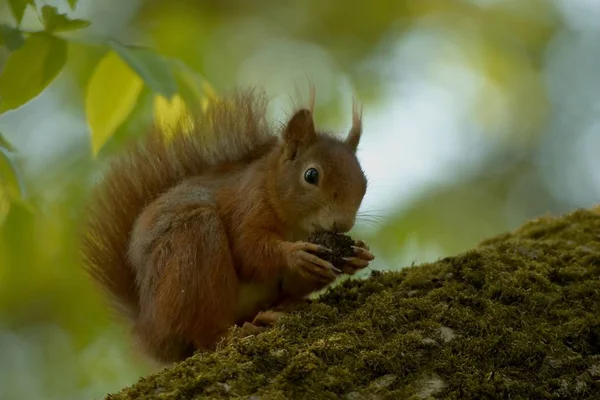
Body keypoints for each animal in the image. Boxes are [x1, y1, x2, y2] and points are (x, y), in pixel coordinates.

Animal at [79, 87, 370, 362]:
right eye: (311, 175)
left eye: (364, 181)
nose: (343, 223)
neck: (296, 226)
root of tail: (149, 331)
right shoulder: (247, 205)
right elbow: (248, 251)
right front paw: (295, 254)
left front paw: (357, 256)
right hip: (191, 249)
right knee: (203, 334)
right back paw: (237, 331)